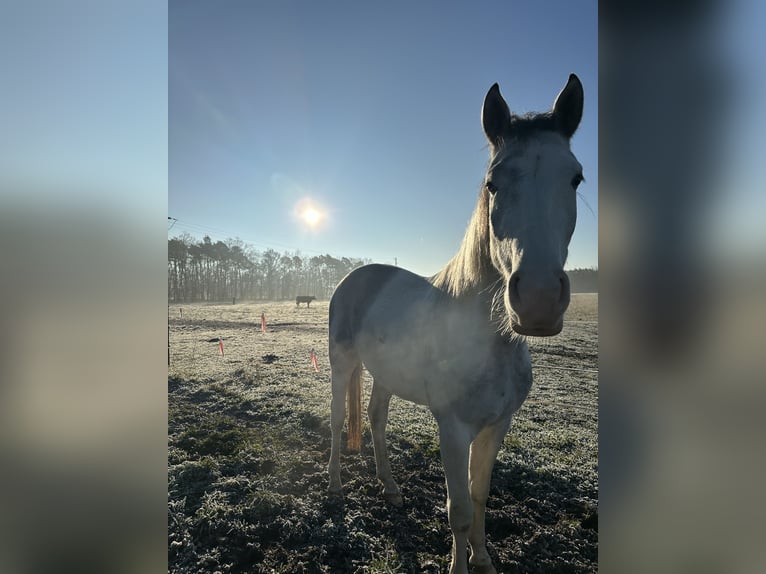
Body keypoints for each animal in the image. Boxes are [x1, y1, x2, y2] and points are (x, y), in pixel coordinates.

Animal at [327, 74, 584, 574]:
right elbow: (459, 509)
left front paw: (483, 560)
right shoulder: (452, 427)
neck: (491, 342)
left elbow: (480, 496)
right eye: (493, 183)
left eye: (575, 177)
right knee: (335, 419)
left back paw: (390, 488)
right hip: (341, 365)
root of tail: (357, 276)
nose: (539, 299)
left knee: (376, 418)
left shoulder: (497, 425)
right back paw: (332, 486)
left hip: (385, 374)